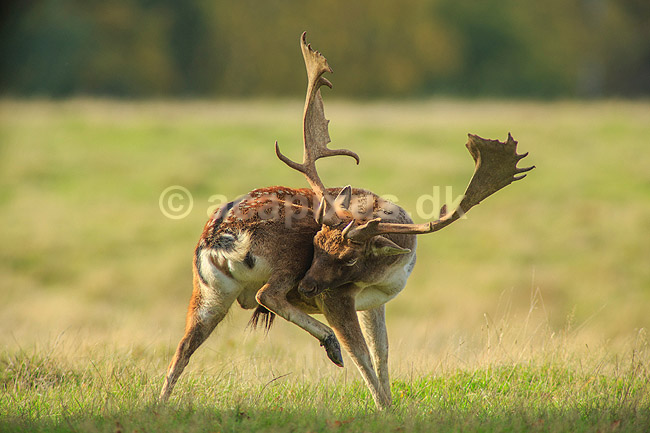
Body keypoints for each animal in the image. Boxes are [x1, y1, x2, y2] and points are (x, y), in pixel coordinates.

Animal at [159, 32, 534, 410]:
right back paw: (330, 344)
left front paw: (391, 404)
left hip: (209, 290)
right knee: (268, 295)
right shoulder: (337, 297)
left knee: (183, 347)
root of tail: (219, 239)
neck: (386, 270)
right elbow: (363, 355)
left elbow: (383, 353)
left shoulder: (375, 301)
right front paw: (383, 406)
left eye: (351, 258)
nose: (307, 287)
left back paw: (160, 403)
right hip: (283, 257)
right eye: (316, 243)